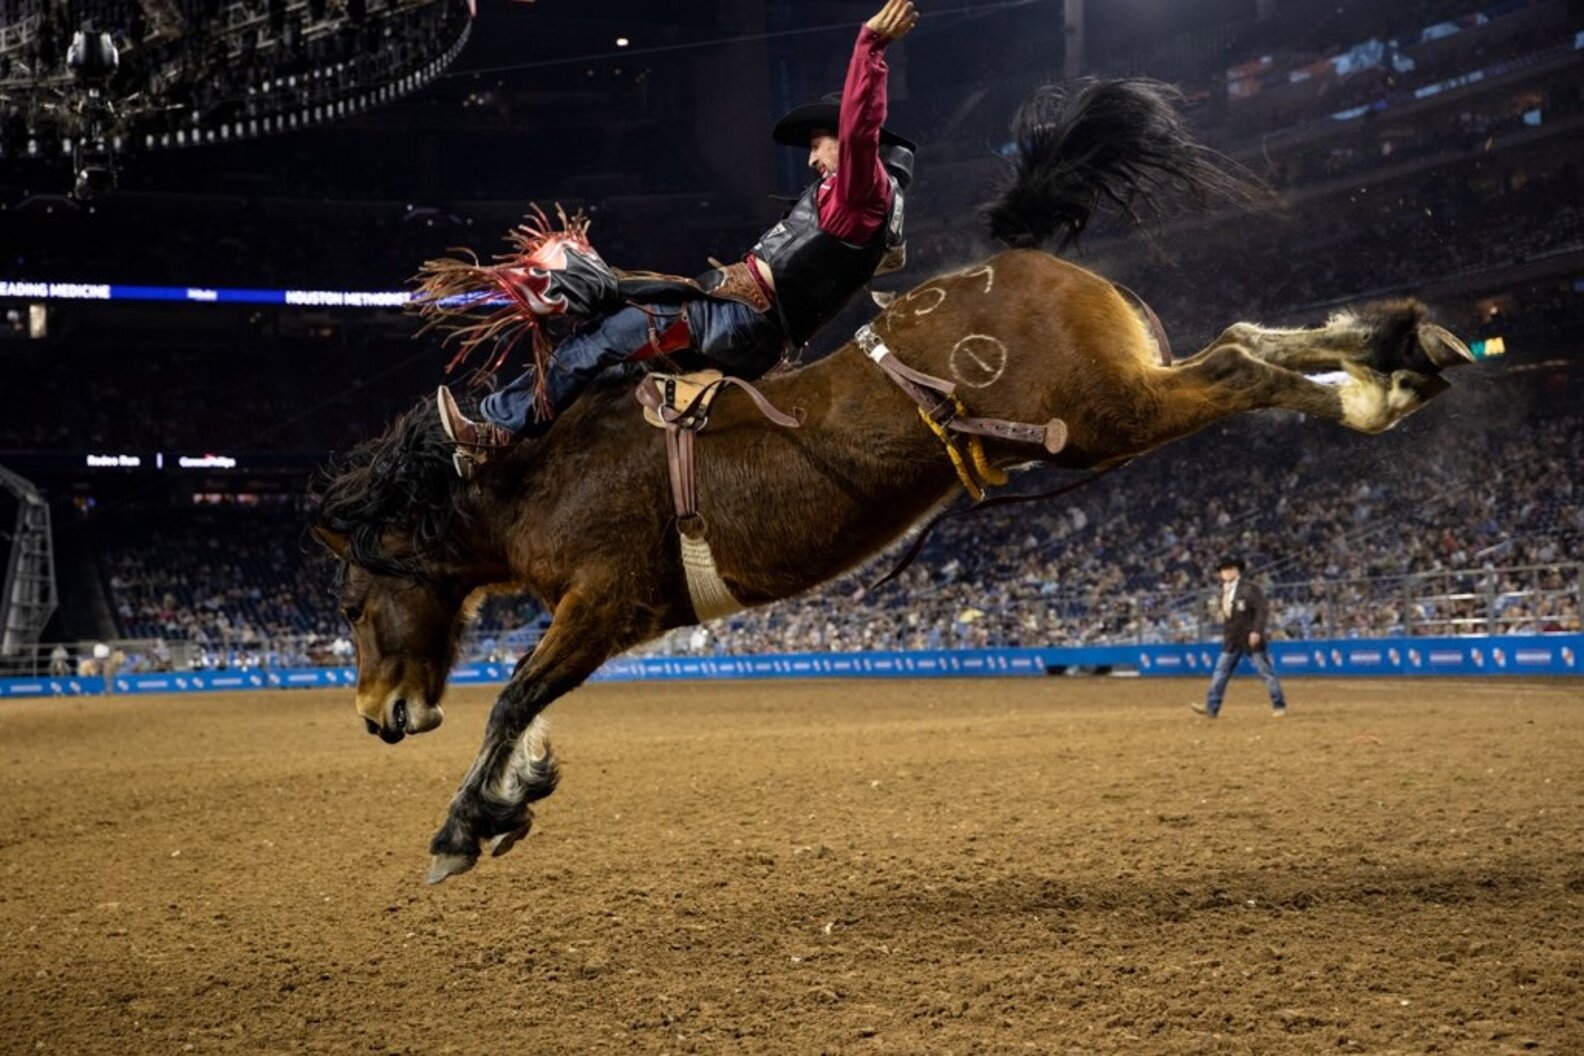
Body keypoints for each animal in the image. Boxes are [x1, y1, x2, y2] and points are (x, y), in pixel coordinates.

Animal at [313, 80, 1477, 883]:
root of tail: (1024, 261)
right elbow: (529, 703)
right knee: (1245, 338)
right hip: (1126, 394)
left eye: (353, 604)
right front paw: (516, 796)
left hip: (1110, 417)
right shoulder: (602, 616)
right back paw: (1403, 352)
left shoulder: (606, 601)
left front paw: (466, 825)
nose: (374, 715)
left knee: (1239, 365)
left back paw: (1379, 387)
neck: (547, 469)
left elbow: (515, 694)